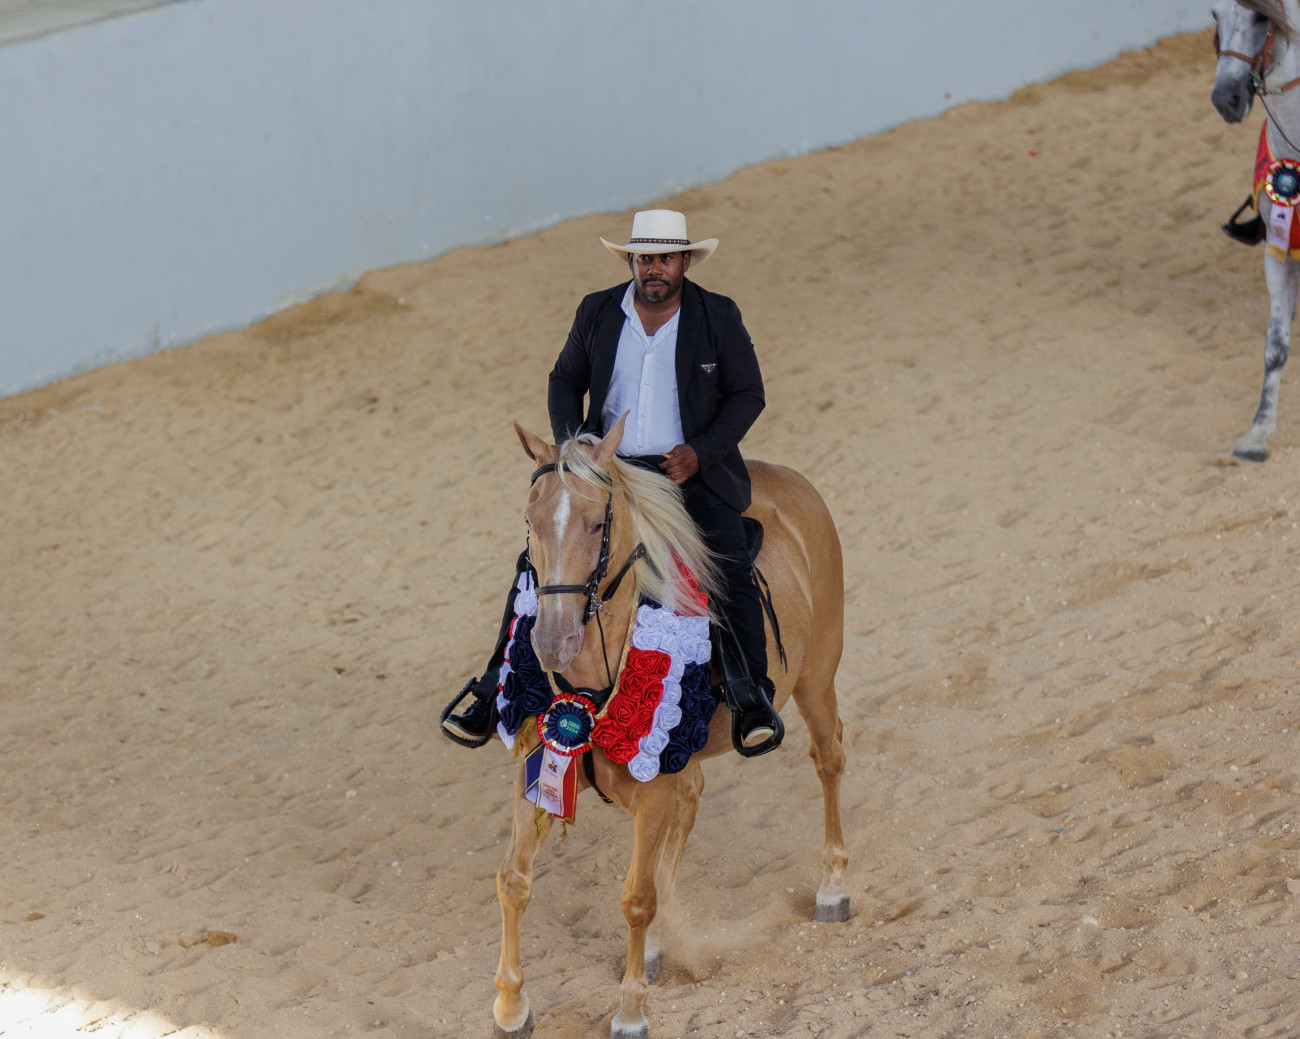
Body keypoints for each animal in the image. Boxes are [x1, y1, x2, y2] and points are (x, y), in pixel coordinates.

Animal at [490, 413, 848, 1039]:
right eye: (530, 521)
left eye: (596, 524)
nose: (552, 642)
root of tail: (793, 481)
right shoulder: (539, 770)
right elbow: (514, 878)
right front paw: (511, 1007)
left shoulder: (651, 790)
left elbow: (638, 897)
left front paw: (631, 1012)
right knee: (693, 799)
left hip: (816, 678)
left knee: (828, 761)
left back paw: (832, 888)